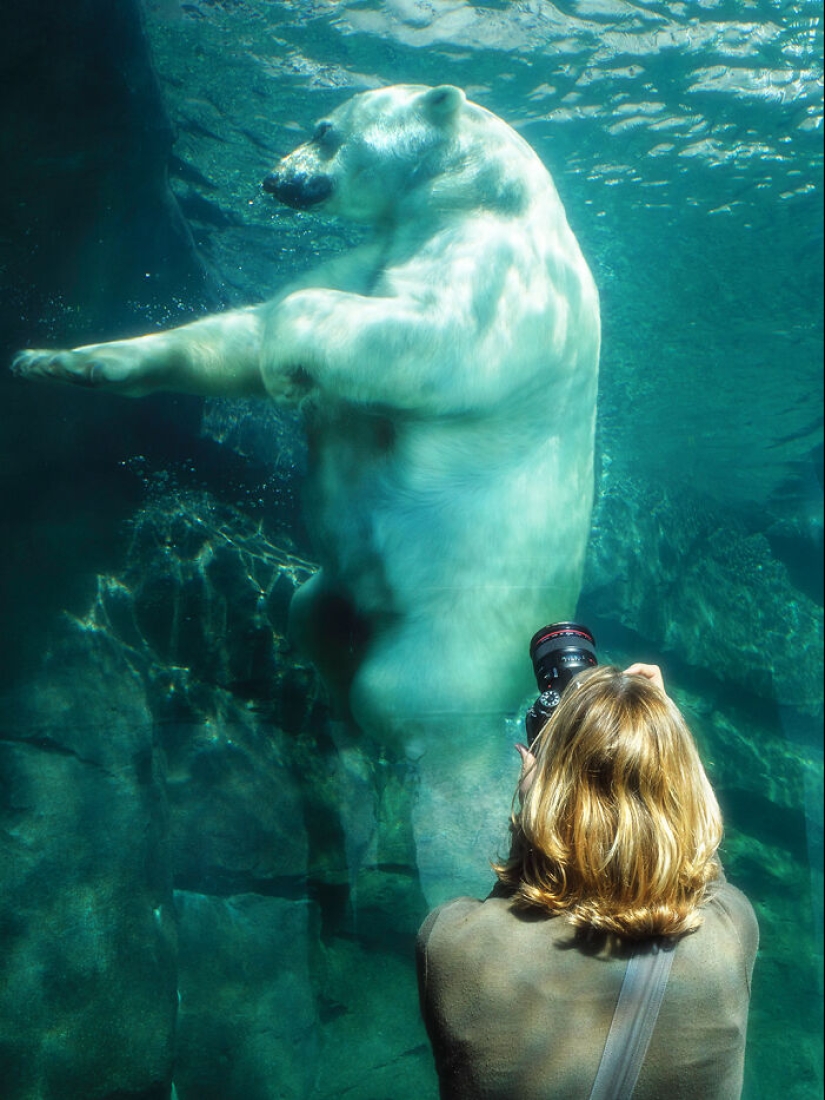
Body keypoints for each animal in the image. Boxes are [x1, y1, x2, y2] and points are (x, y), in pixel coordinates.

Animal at [13, 84, 600, 899]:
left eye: (324, 130)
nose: (273, 178)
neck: (485, 194)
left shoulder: (498, 278)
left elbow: (429, 342)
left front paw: (293, 367)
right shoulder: (392, 247)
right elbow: (244, 332)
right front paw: (61, 361)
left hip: (458, 632)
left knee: (409, 709)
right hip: (341, 590)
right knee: (311, 618)